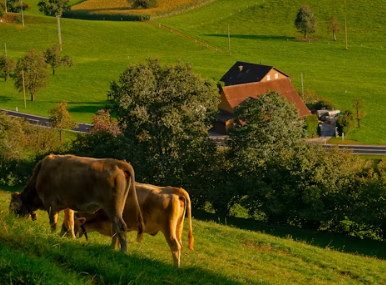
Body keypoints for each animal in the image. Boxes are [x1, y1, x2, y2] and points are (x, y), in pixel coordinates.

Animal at [9, 153, 145, 253]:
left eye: (13, 208)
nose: (13, 223)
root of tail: (117, 163)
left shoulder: (51, 203)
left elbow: (53, 223)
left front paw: (51, 236)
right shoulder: (67, 205)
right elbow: (69, 222)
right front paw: (70, 238)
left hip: (112, 206)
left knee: (120, 226)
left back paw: (122, 251)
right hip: (118, 207)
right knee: (115, 227)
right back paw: (113, 248)